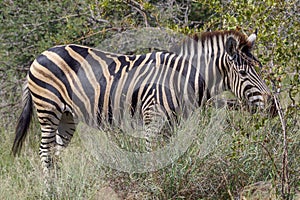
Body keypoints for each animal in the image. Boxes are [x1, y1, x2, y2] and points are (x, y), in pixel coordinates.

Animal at [11, 28, 274, 176]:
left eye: (259, 68)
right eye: (243, 73)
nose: (272, 106)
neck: (180, 79)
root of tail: (40, 56)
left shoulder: (172, 125)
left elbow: (169, 156)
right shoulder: (152, 121)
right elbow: (152, 158)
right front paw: (155, 184)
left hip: (67, 116)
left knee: (57, 154)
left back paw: (63, 186)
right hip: (48, 110)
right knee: (45, 152)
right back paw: (50, 188)